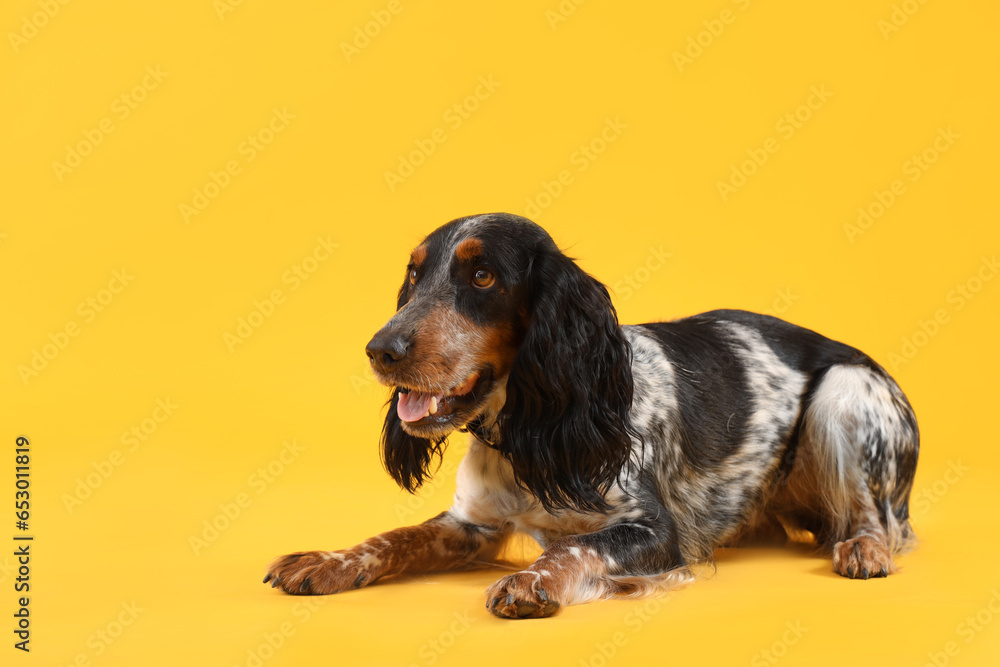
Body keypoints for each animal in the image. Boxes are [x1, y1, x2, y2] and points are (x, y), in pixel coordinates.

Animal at [262, 214, 916, 620]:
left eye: (482, 275)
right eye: (415, 274)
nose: (380, 350)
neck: (528, 433)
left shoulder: (656, 531)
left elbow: (570, 548)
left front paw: (531, 582)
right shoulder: (470, 525)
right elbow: (393, 537)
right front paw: (327, 562)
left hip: (844, 393)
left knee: (877, 519)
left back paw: (864, 550)